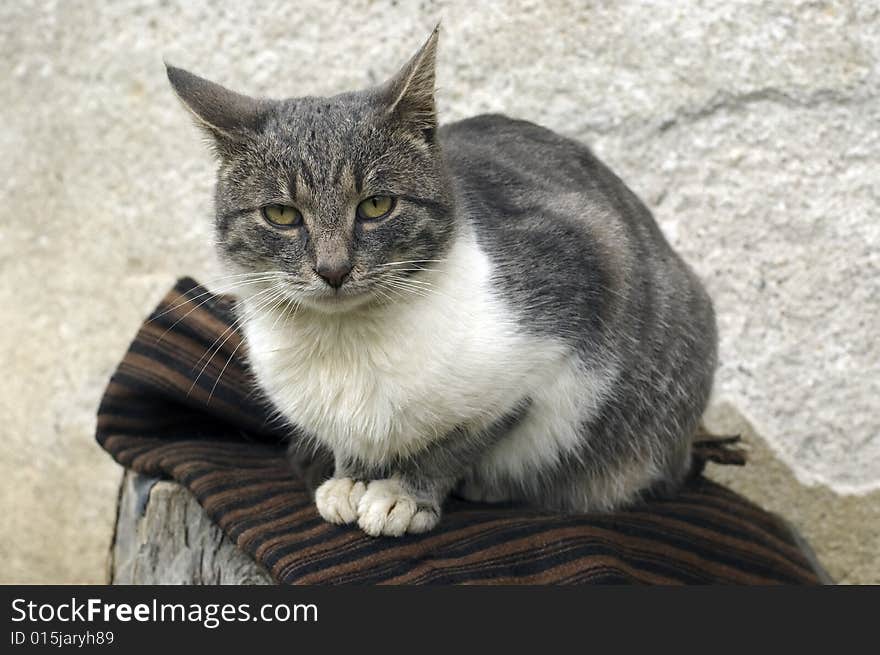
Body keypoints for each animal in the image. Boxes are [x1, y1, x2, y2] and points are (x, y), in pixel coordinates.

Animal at [165, 25, 716, 540]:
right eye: (281, 214)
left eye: (377, 205)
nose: (333, 269)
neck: (348, 344)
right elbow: (350, 442)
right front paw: (349, 477)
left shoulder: (546, 348)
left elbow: (459, 442)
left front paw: (405, 494)